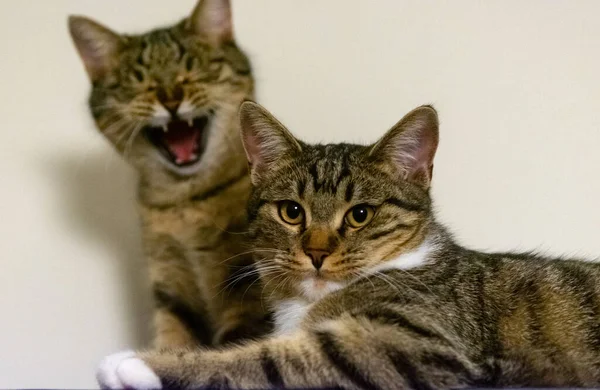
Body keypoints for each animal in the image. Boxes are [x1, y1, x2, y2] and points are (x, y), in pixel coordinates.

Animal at [67, 0, 270, 348]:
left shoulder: (247, 284)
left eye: (191, 67)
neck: (183, 203)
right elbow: (172, 341)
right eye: (138, 80)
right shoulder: (169, 284)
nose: (171, 98)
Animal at [96, 102, 600, 388]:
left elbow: (268, 361)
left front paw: (138, 364)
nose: (317, 253)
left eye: (360, 215)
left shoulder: (413, 342)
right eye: (291, 211)